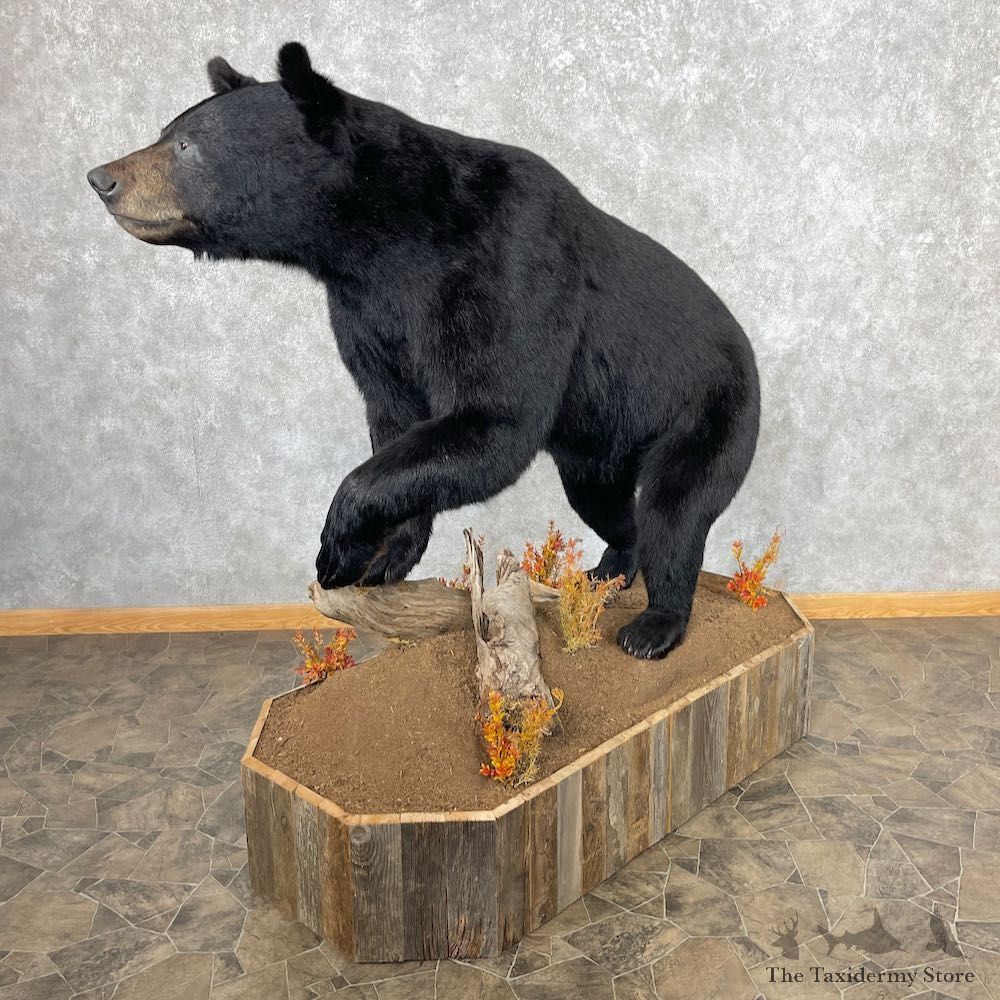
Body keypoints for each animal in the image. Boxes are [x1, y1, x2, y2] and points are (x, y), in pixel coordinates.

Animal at [87, 42, 760, 660]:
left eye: (186, 145)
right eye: (167, 131)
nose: (102, 178)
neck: (388, 239)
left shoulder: (506, 267)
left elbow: (492, 420)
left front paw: (336, 551)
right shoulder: (367, 311)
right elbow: (398, 422)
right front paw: (388, 557)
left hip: (709, 407)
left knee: (676, 511)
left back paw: (654, 624)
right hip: (598, 445)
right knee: (605, 503)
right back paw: (609, 567)